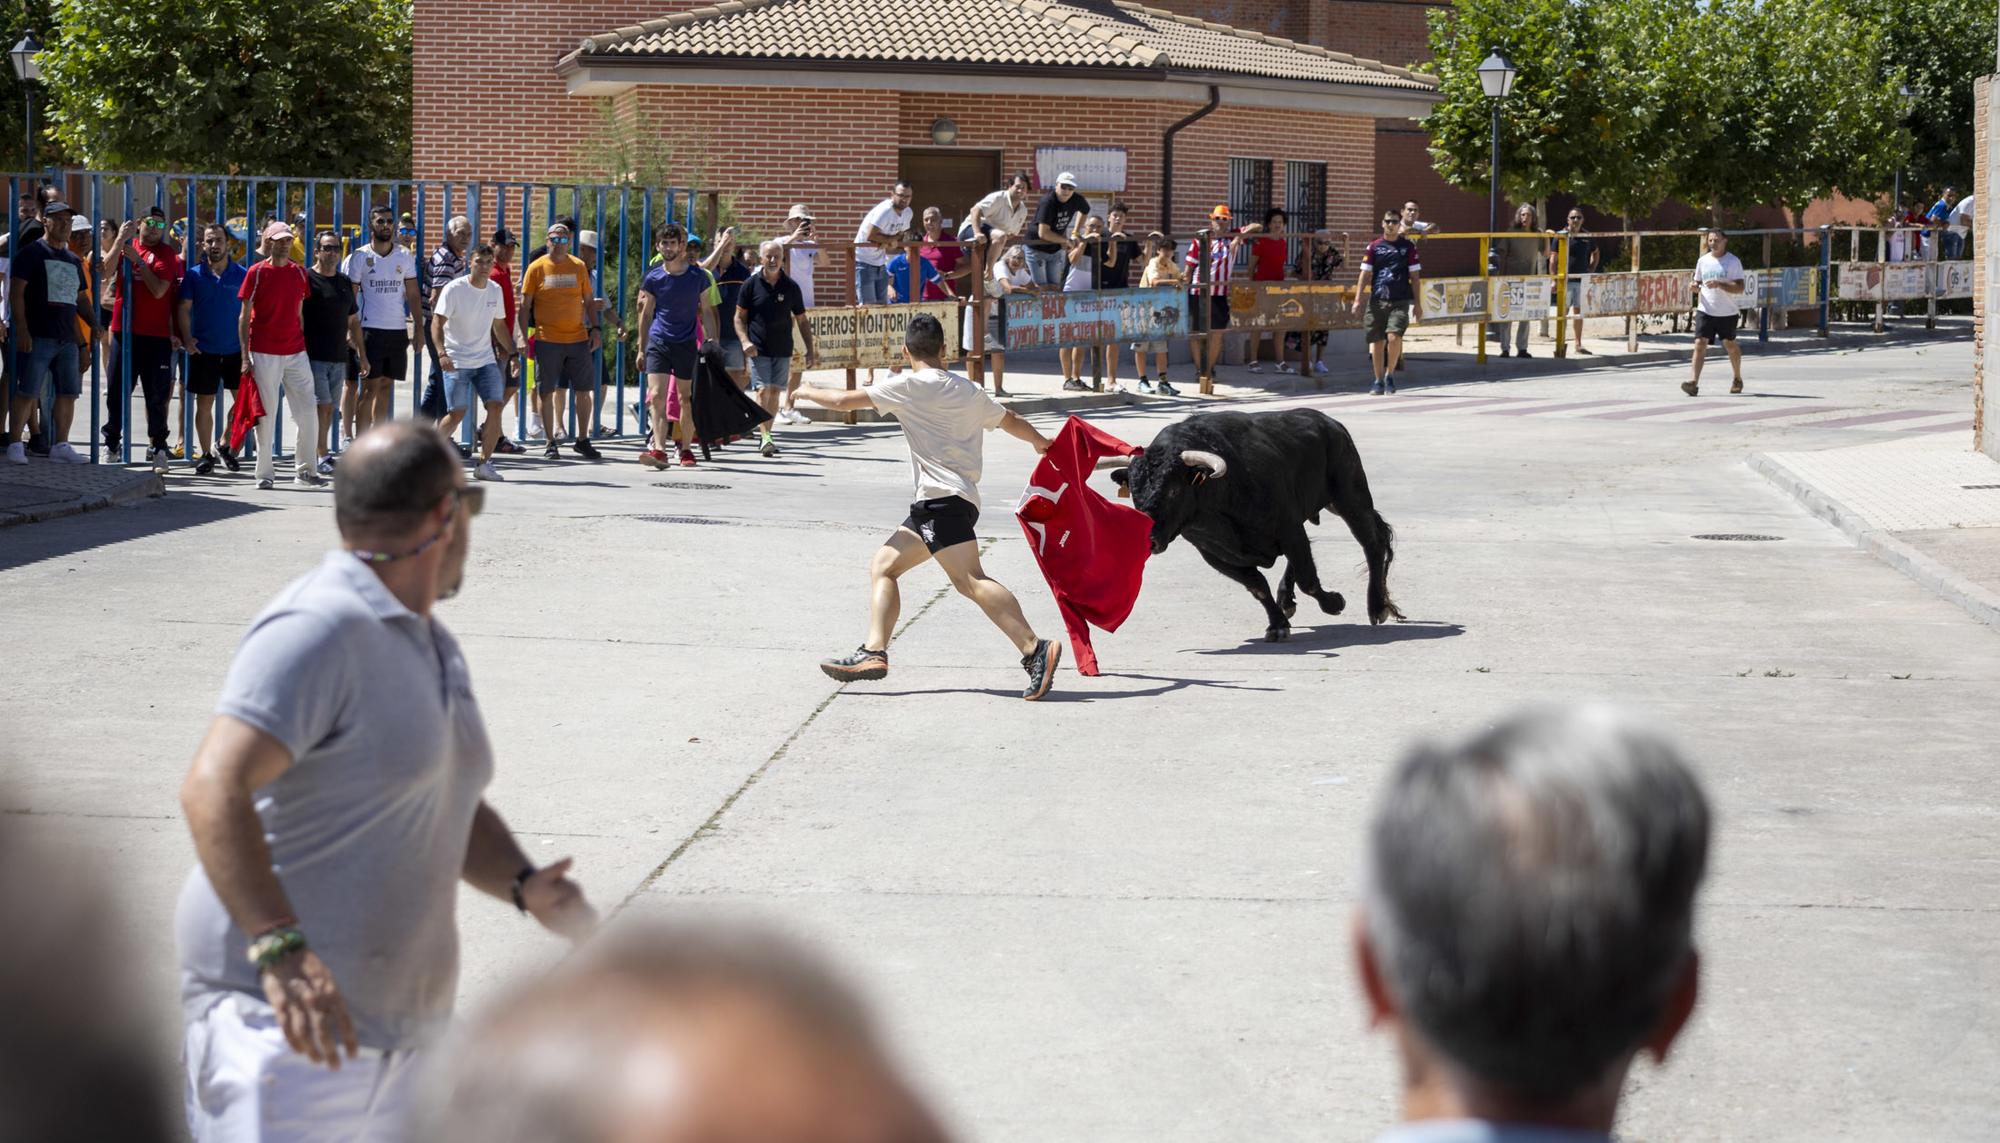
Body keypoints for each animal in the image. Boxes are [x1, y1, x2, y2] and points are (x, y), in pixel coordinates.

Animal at [1112, 411, 1408, 643]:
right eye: (1134, 492)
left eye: (1173, 490)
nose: (1148, 539)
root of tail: (1331, 424)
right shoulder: (1214, 554)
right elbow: (1258, 586)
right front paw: (1277, 625)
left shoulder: (1288, 529)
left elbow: (1308, 578)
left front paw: (1334, 602)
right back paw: (1287, 602)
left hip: (1349, 496)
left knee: (1371, 542)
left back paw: (1377, 606)